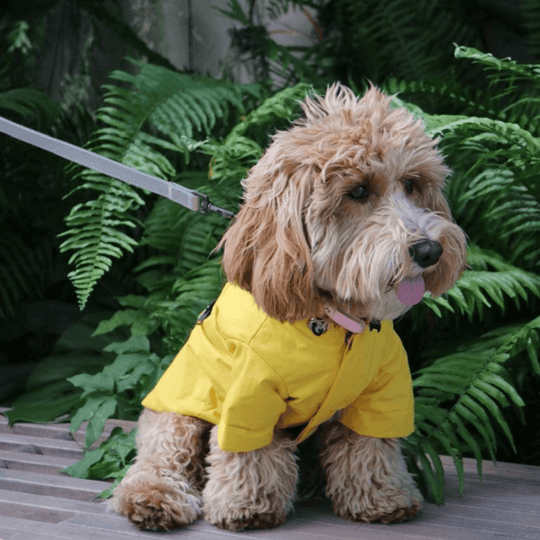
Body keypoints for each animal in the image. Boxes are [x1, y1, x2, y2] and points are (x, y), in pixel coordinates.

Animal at [109, 84, 468, 532]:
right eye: (358, 191)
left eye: (412, 183)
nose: (429, 250)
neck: (332, 321)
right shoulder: (250, 392)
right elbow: (250, 450)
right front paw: (248, 505)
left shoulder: (380, 390)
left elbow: (370, 443)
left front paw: (382, 496)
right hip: (176, 413)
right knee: (161, 460)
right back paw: (153, 498)